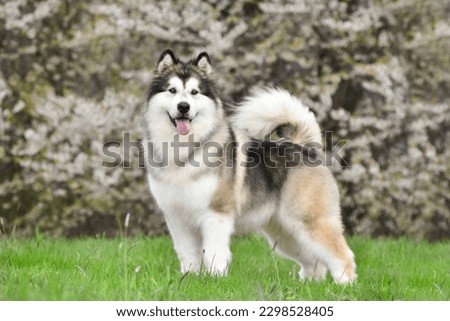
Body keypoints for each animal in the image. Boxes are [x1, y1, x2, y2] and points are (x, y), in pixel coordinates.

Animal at [142, 49, 356, 282]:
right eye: (172, 90)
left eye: (194, 92)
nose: (183, 107)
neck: (182, 150)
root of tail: (304, 147)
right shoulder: (177, 218)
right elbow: (187, 253)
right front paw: (189, 278)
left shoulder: (216, 214)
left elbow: (214, 252)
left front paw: (215, 278)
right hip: (285, 231)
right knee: (314, 260)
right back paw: (310, 284)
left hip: (310, 220)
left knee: (342, 254)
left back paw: (345, 284)